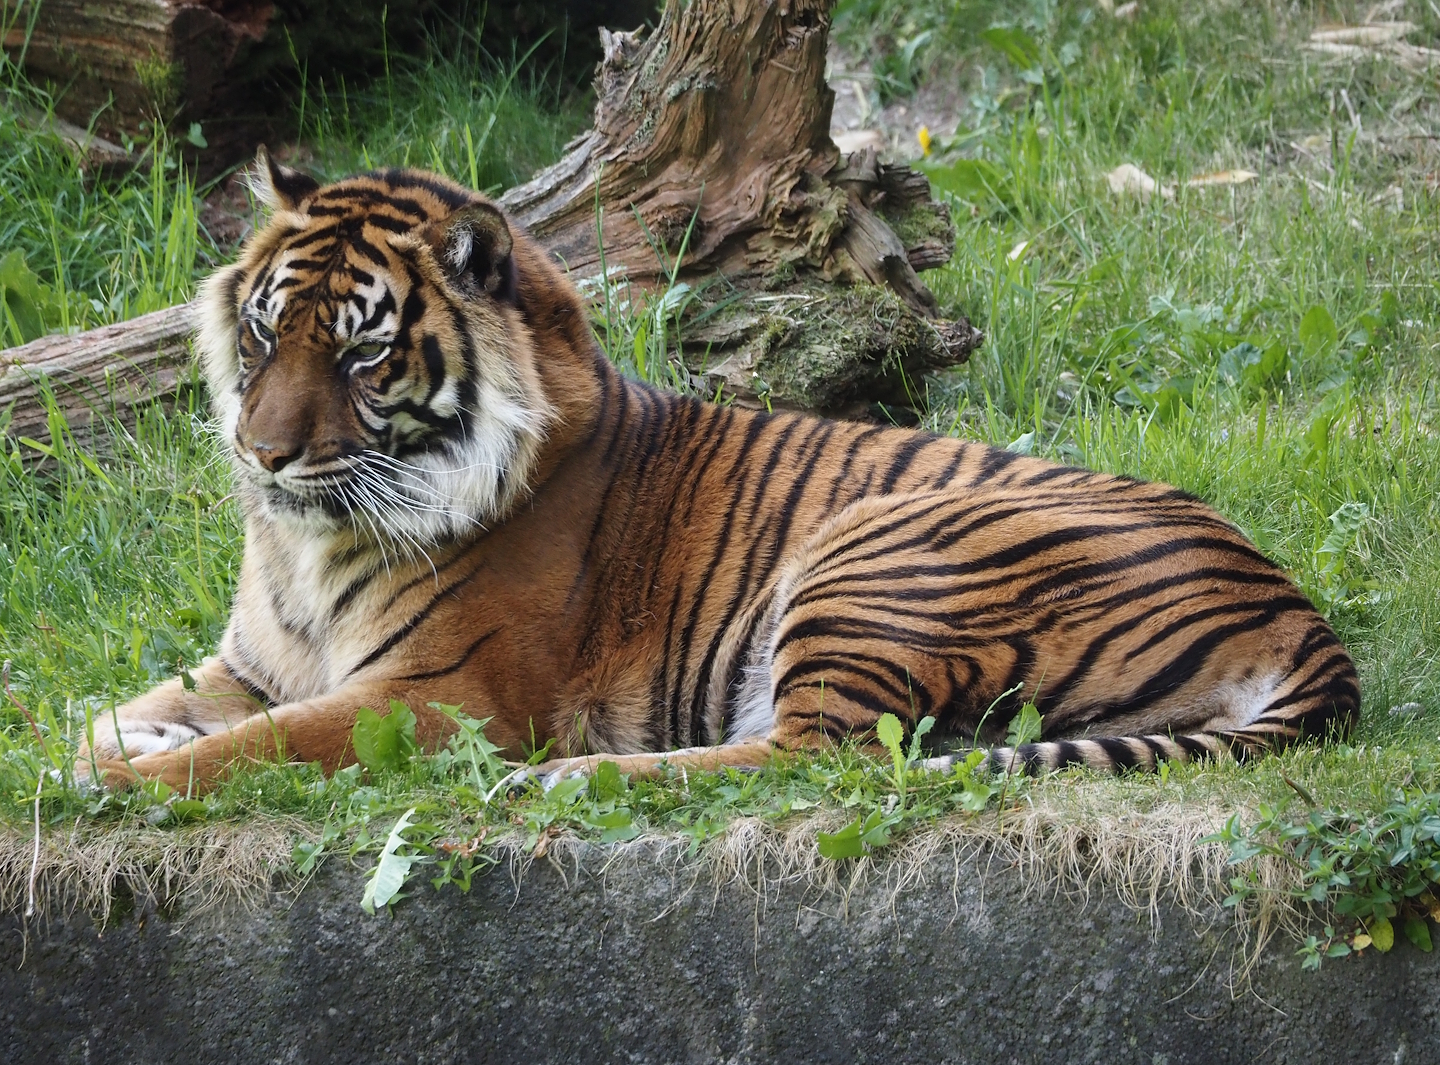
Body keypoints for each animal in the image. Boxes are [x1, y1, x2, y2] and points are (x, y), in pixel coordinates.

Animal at [77, 150, 1360, 791]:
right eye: (261, 335)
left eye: (360, 352)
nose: (262, 453)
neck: (307, 541)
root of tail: (1300, 615)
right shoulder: (252, 664)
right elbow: (117, 713)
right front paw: (118, 744)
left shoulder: (441, 695)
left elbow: (254, 748)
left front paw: (129, 781)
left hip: (875, 555)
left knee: (816, 759)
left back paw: (568, 782)